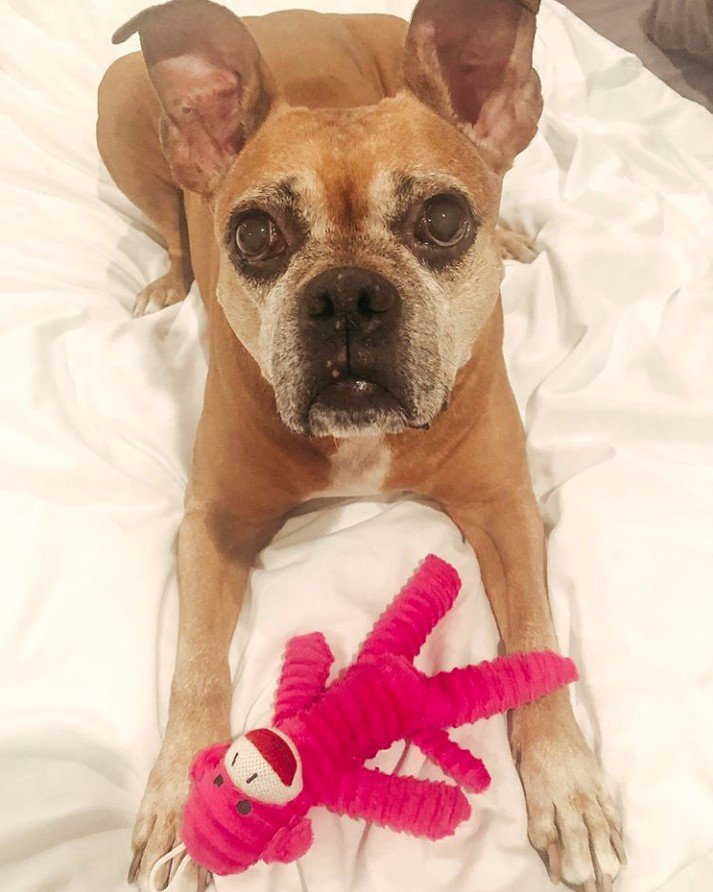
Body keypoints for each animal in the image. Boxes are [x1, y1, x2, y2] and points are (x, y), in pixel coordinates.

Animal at [96, 1, 624, 892]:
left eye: (443, 220)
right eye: (253, 234)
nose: (346, 293)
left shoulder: (505, 507)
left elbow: (534, 635)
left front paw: (566, 782)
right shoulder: (212, 525)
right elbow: (196, 665)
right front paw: (177, 798)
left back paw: (515, 236)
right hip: (120, 115)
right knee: (170, 231)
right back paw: (167, 284)